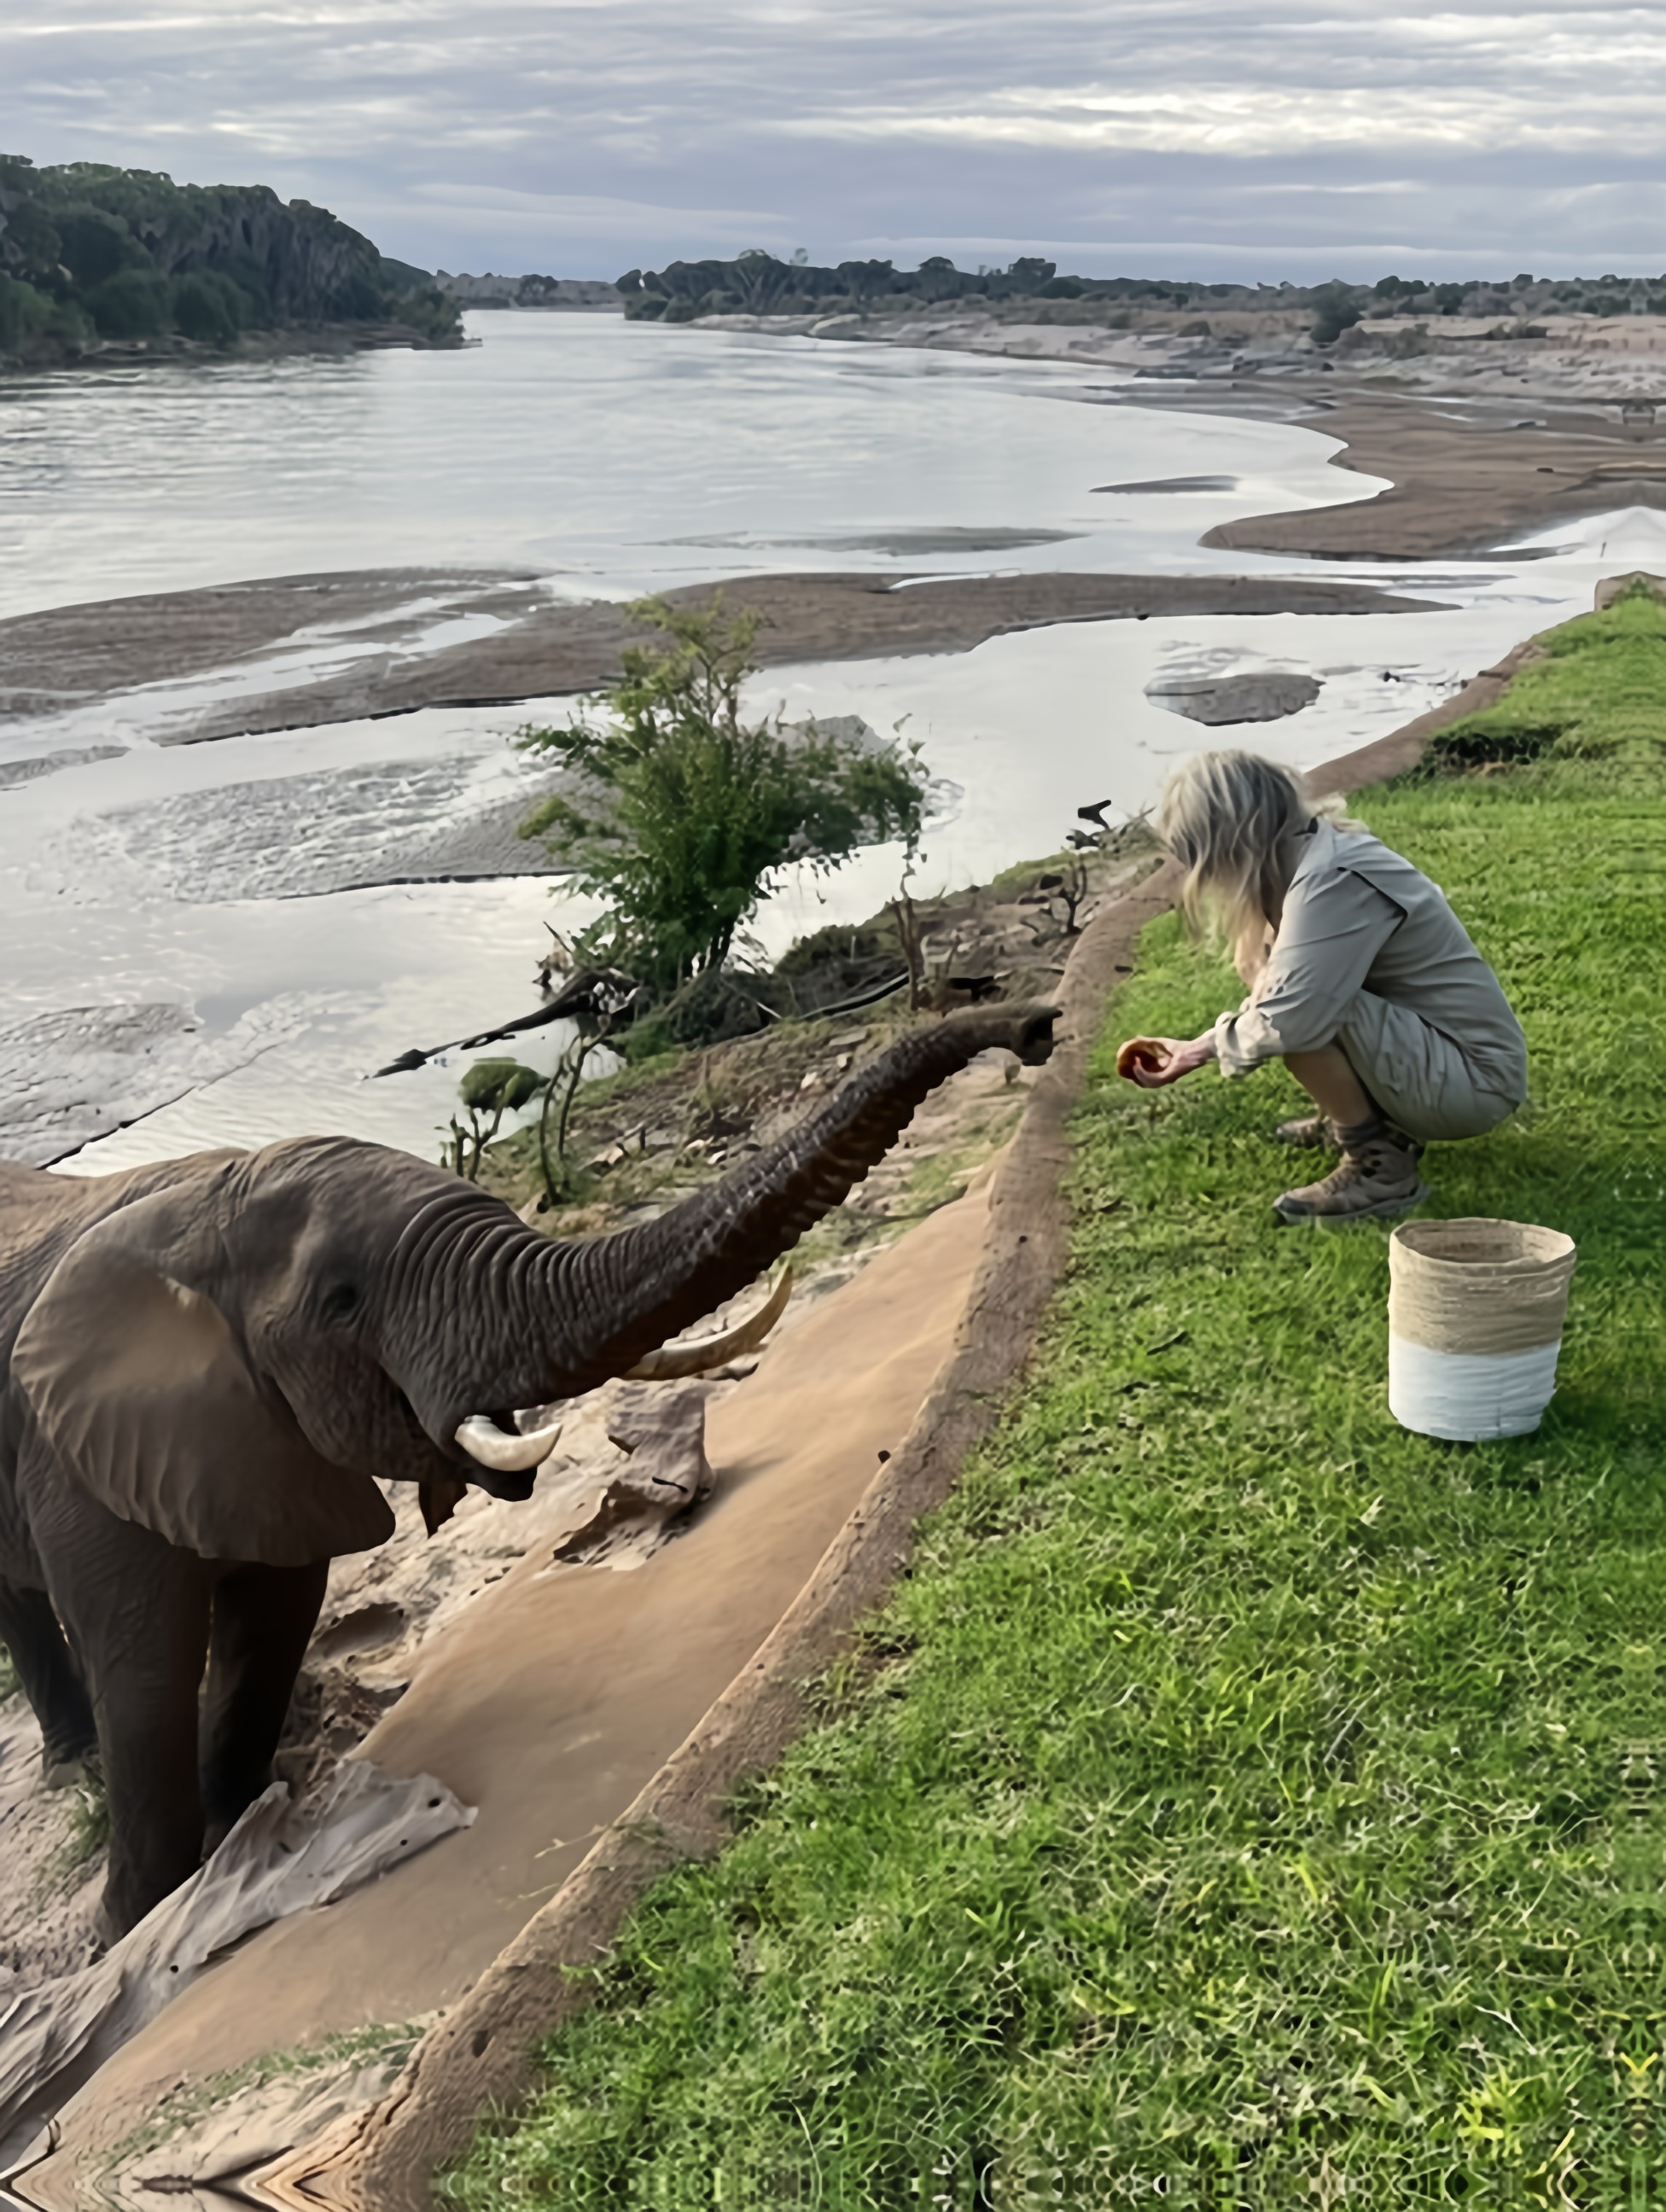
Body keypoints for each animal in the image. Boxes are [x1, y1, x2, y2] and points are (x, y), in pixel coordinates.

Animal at [0, 1003, 1056, 1937]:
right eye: (341, 1301)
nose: (1035, 1028)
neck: (199, 1199)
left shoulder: (261, 1445)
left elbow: (274, 1621)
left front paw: (242, 1843)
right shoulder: (71, 1454)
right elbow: (145, 1672)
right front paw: (141, 1922)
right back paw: (75, 1770)